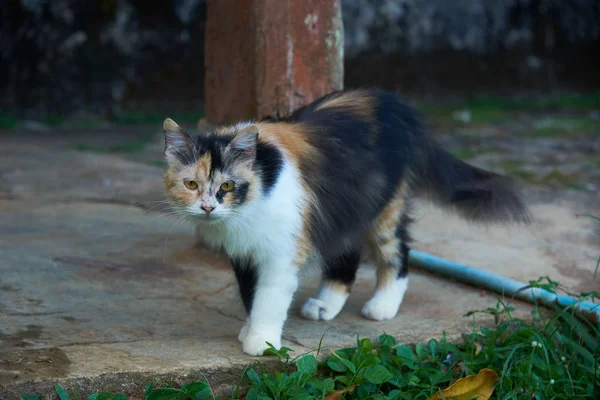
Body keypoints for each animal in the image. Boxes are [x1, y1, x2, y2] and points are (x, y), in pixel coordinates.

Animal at [161, 89, 528, 354]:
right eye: (191, 184)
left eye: (227, 186)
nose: (208, 207)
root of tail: (397, 106)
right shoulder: (244, 253)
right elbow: (250, 295)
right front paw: (250, 329)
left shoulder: (283, 249)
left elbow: (269, 297)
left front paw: (261, 341)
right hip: (344, 210)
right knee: (348, 254)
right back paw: (326, 304)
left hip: (381, 206)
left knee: (398, 252)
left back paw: (382, 304)